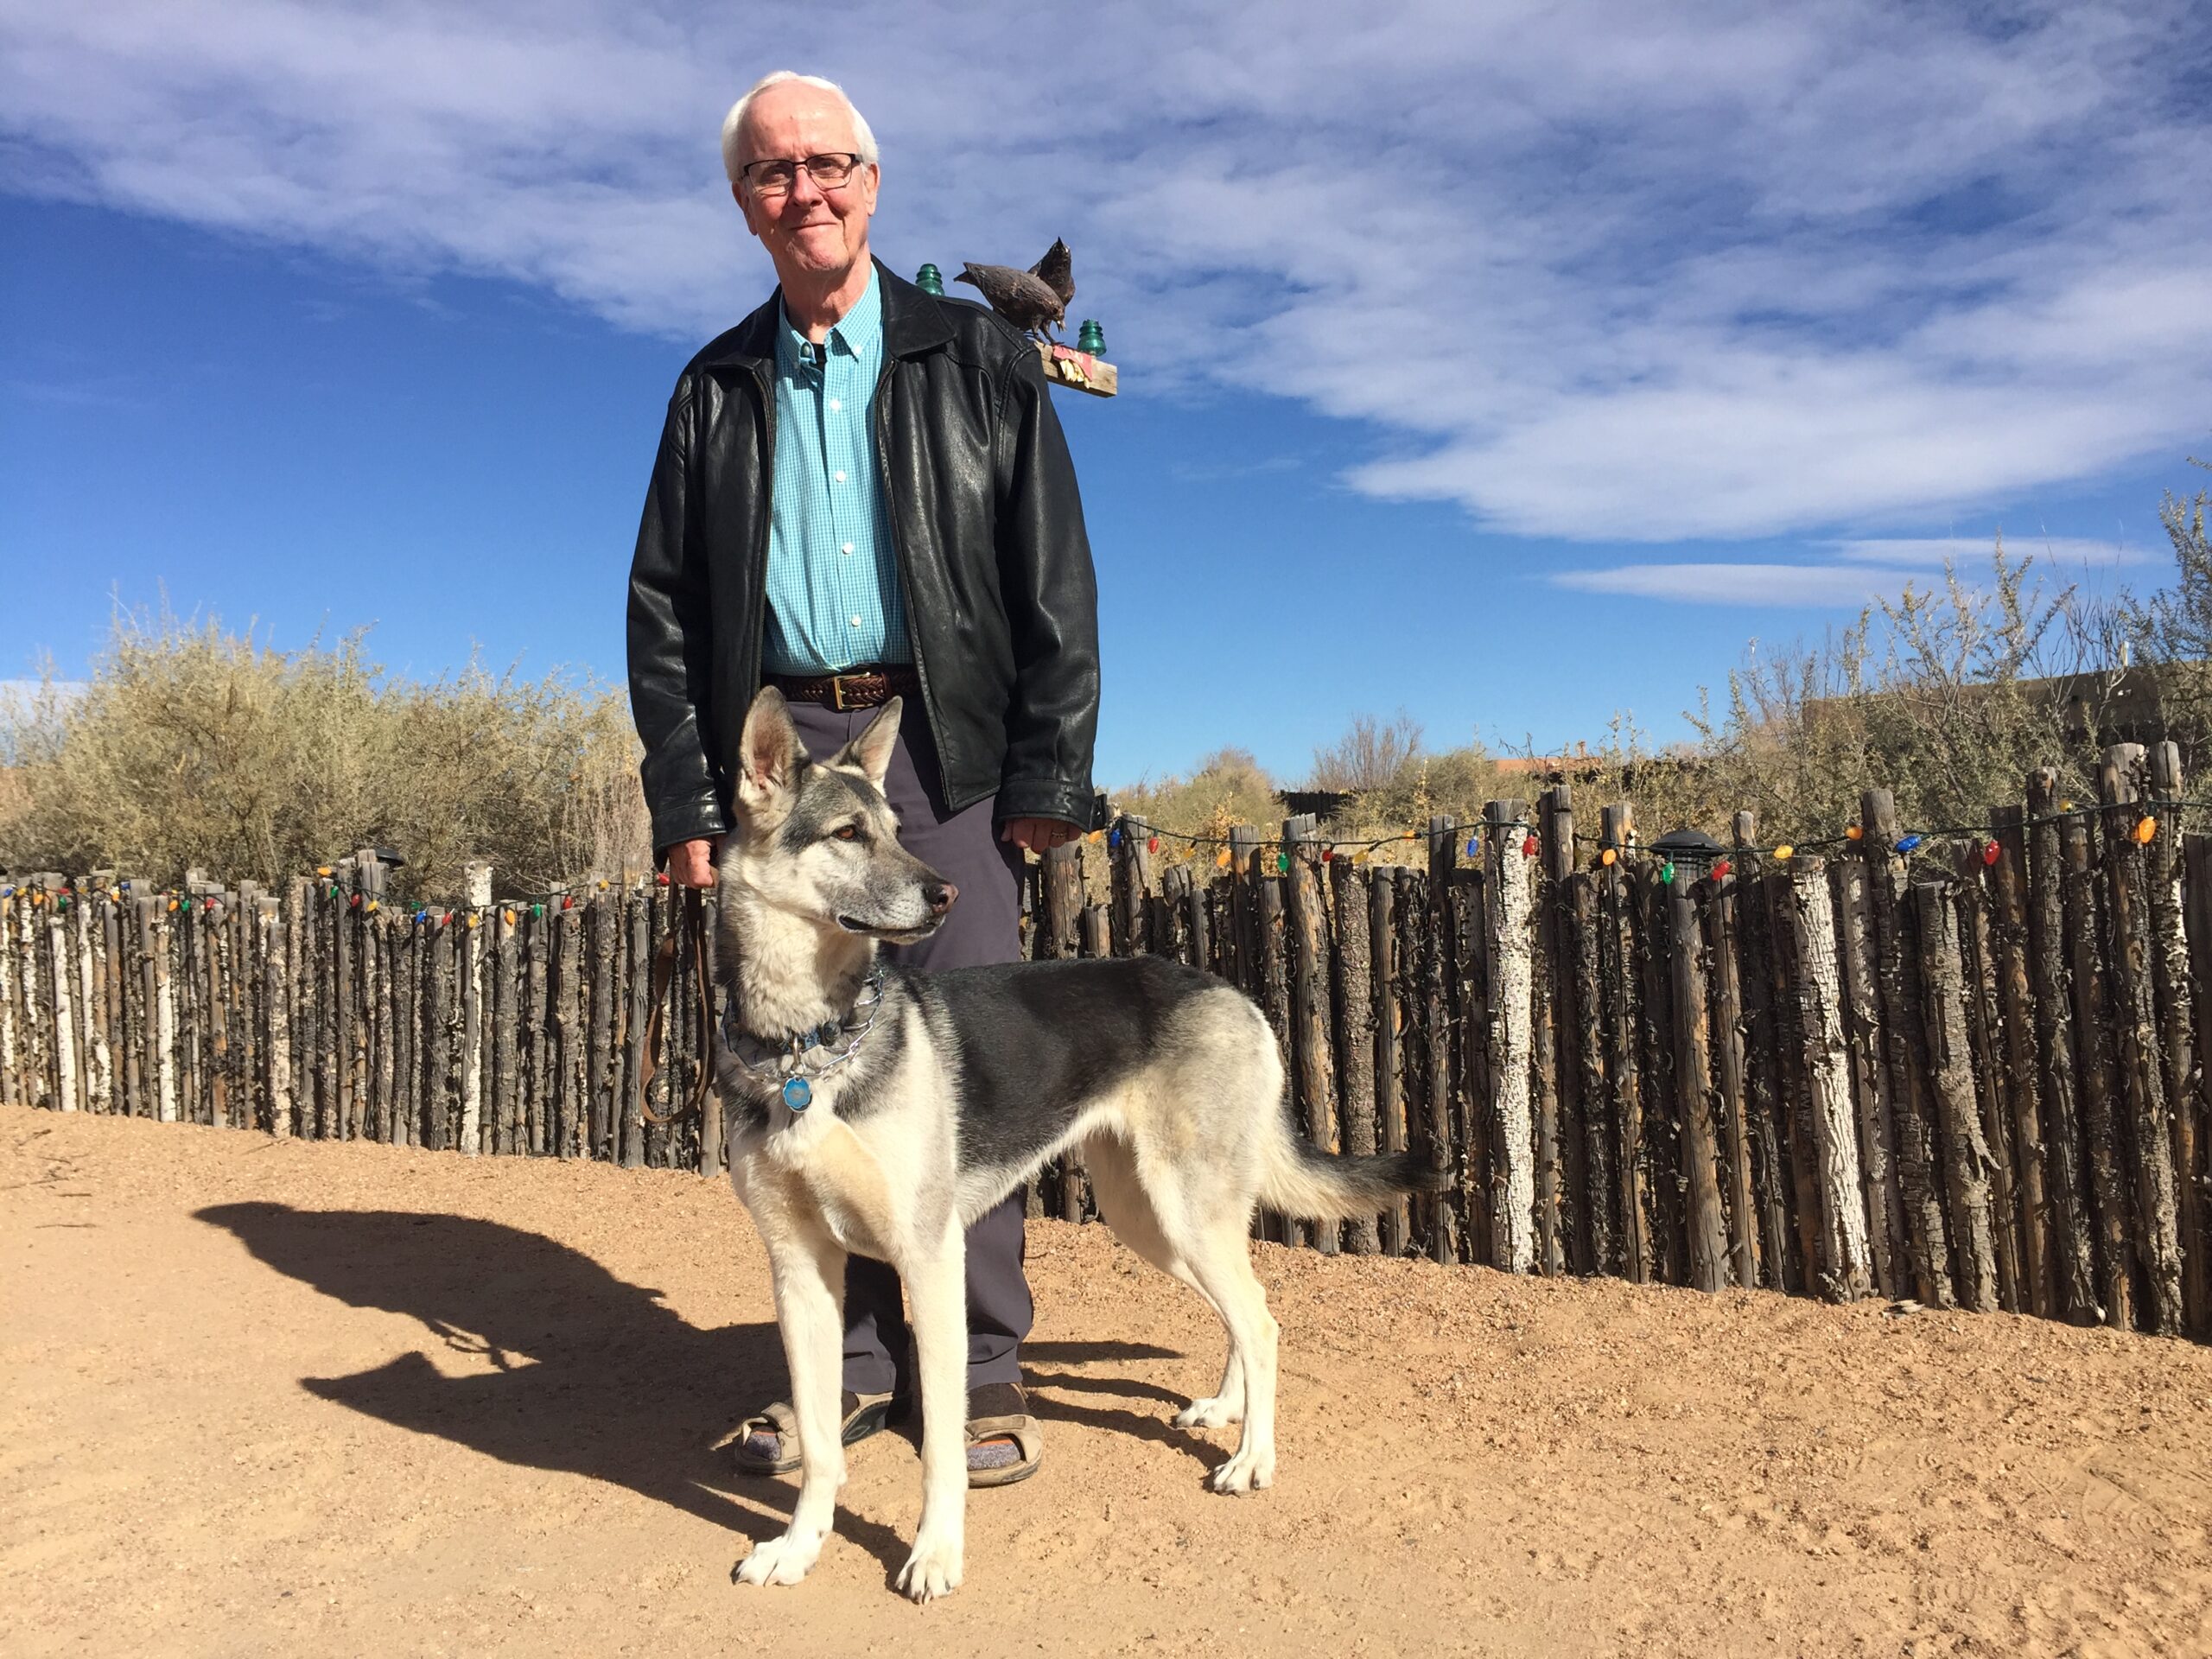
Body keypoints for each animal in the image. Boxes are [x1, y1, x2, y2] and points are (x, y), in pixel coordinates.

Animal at [708, 685, 1433, 1601]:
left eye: (899, 828)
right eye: (847, 832)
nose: (942, 894)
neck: (809, 1048)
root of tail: (1236, 993)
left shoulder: (930, 1257)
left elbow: (942, 1446)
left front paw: (935, 1554)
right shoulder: (800, 1271)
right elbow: (820, 1446)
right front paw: (798, 1548)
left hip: (1180, 1214)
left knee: (1263, 1322)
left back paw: (1252, 1460)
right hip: (1153, 1220)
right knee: (1249, 1310)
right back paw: (1227, 1410)